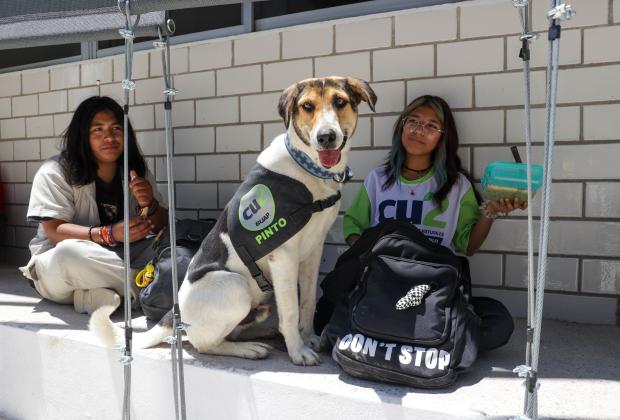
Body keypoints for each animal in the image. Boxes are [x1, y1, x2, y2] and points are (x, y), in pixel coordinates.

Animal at [89, 77, 376, 366]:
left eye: (340, 101)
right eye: (307, 106)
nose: (326, 137)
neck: (308, 168)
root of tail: (173, 316)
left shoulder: (313, 250)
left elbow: (307, 302)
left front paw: (308, 339)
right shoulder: (283, 256)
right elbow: (291, 312)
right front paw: (298, 351)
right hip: (235, 285)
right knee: (205, 344)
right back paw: (249, 349)